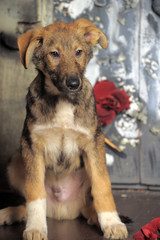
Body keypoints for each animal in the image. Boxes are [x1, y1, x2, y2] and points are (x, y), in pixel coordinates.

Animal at [0, 18, 127, 240]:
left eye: (78, 52)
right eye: (54, 54)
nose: (74, 83)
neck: (63, 100)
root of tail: (62, 211)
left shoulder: (94, 143)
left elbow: (102, 186)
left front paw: (112, 223)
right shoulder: (31, 144)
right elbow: (35, 192)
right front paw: (36, 228)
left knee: (89, 205)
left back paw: (97, 218)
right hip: (15, 161)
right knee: (27, 202)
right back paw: (10, 213)